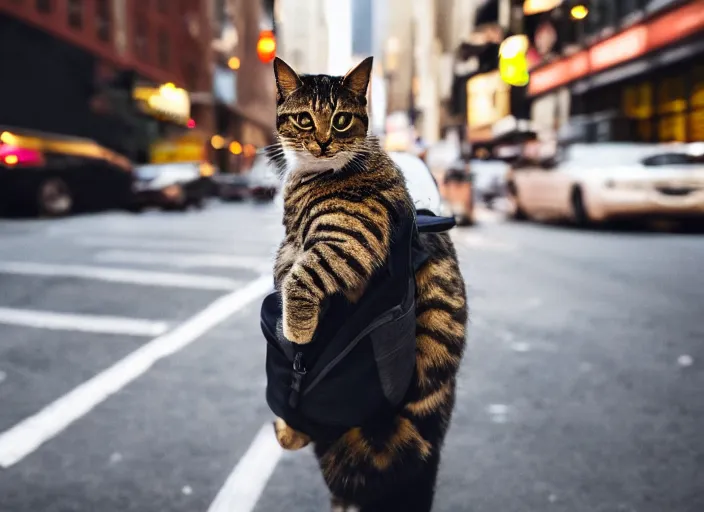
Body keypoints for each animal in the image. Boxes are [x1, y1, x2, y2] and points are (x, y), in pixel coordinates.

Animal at [266, 57, 468, 512]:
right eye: (305, 120)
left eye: (341, 120)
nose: (324, 143)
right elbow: (287, 262)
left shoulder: (348, 237)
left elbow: (300, 275)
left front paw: (296, 329)